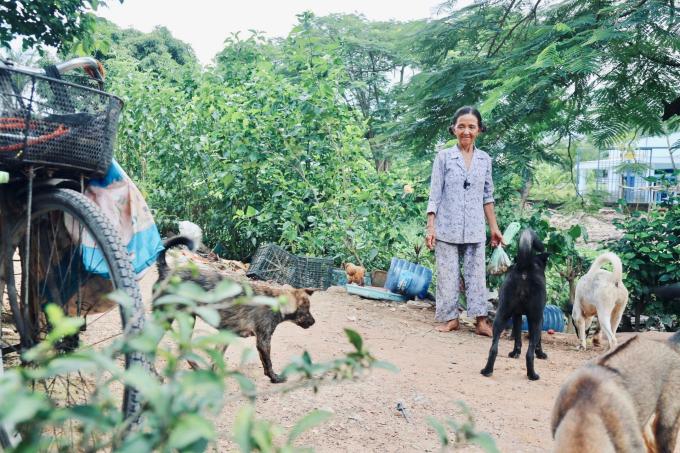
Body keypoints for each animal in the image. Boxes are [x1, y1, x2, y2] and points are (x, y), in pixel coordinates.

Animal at [480, 228, 548, 380]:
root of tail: (525, 267)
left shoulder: (517, 315)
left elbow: (517, 336)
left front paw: (515, 352)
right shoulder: (540, 317)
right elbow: (538, 341)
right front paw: (541, 354)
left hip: (502, 315)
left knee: (493, 349)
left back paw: (487, 370)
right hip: (535, 319)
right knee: (529, 353)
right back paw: (532, 375)